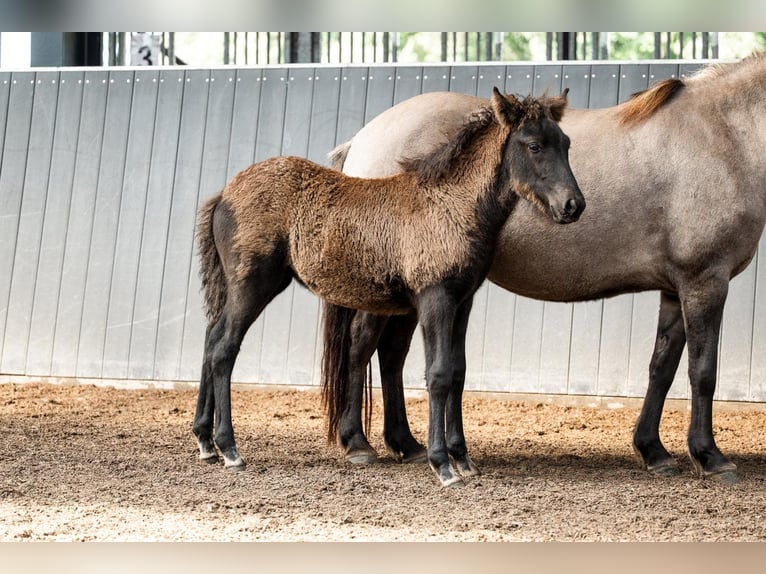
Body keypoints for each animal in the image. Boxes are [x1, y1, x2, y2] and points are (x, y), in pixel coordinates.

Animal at [192, 88, 585, 487]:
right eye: (534, 145)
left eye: (565, 143)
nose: (573, 205)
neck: (451, 205)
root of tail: (224, 194)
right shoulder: (435, 299)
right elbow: (438, 374)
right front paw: (443, 464)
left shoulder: (463, 302)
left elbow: (458, 373)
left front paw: (463, 458)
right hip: (253, 284)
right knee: (223, 348)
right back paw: (229, 449)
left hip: (235, 288)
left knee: (211, 338)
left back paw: (205, 442)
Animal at [323, 52, 766, 485]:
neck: (721, 136)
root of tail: (364, 137)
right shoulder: (705, 281)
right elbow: (702, 371)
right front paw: (710, 456)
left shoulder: (677, 288)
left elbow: (662, 367)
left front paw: (653, 450)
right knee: (361, 345)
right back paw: (358, 443)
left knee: (391, 353)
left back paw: (406, 444)